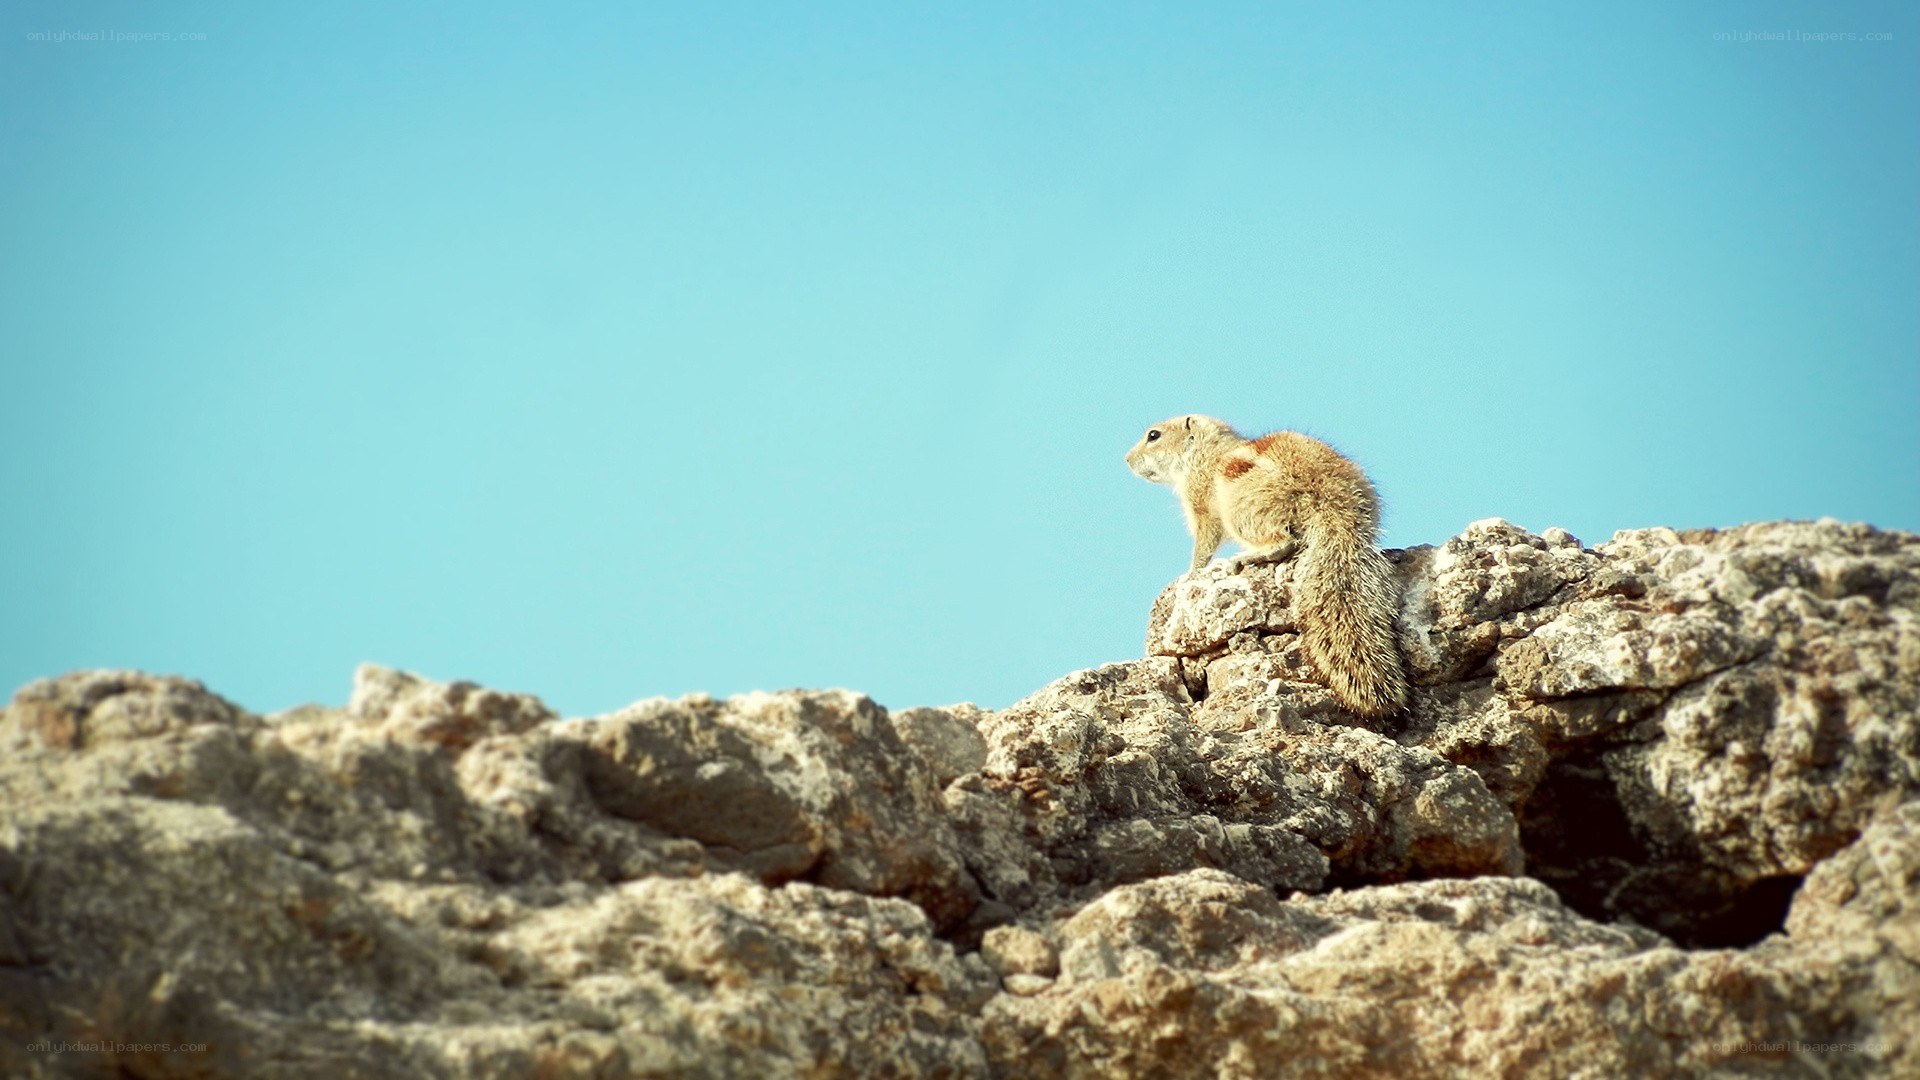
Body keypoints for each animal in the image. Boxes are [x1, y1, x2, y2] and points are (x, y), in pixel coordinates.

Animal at [1126, 415, 1409, 718]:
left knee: (1283, 541)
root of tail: (1333, 506)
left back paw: (1248, 557)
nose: (1127, 460)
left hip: (1243, 509)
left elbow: (1204, 544)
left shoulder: (1200, 502)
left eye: (1153, 435)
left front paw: (1192, 570)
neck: (1204, 448)